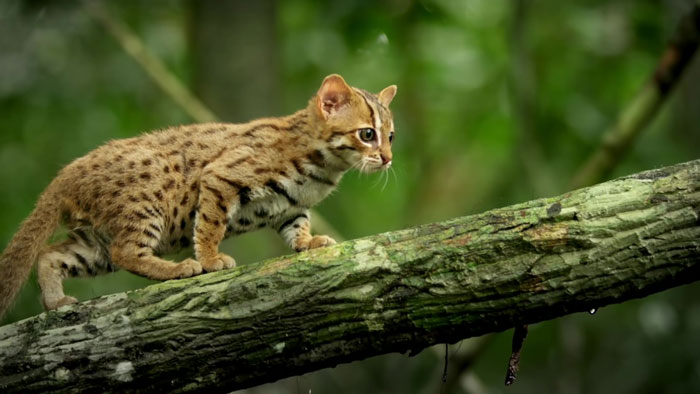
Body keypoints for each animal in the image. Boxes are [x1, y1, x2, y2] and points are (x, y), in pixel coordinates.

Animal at [0, 74, 396, 318]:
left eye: (390, 136)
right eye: (367, 134)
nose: (389, 159)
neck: (325, 166)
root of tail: (69, 170)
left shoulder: (290, 208)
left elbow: (296, 227)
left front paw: (308, 242)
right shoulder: (220, 177)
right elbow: (209, 224)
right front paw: (208, 259)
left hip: (95, 243)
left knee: (51, 255)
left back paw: (55, 300)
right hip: (148, 200)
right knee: (126, 252)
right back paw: (178, 268)